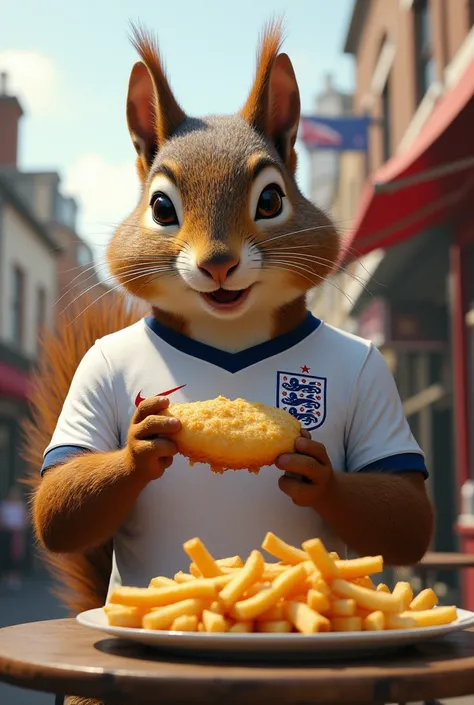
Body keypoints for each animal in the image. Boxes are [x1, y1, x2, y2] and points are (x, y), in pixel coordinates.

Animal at [24, 19, 436, 704]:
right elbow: (59, 502)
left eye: (271, 199)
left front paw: (316, 471)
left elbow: (407, 512)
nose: (218, 263)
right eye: (161, 207)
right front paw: (142, 442)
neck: (231, 330)